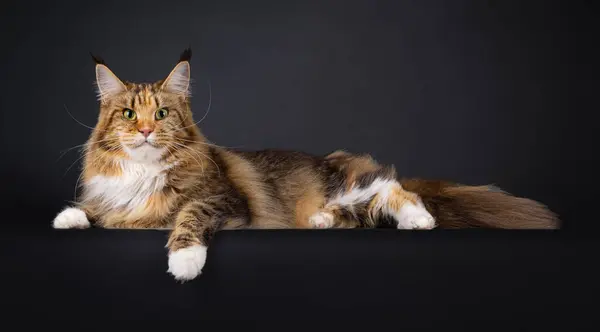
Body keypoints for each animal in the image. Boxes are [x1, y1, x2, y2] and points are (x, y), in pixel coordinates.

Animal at [54, 48, 560, 282]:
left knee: (394, 189)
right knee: (363, 214)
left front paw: (184, 262)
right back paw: (321, 221)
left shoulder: (221, 201)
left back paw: (418, 220)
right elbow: (98, 210)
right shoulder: (119, 202)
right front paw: (69, 217)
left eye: (160, 115)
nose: (143, 131)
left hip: (354, 183)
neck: (144, 172)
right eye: (127, 114)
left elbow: (188, 217)